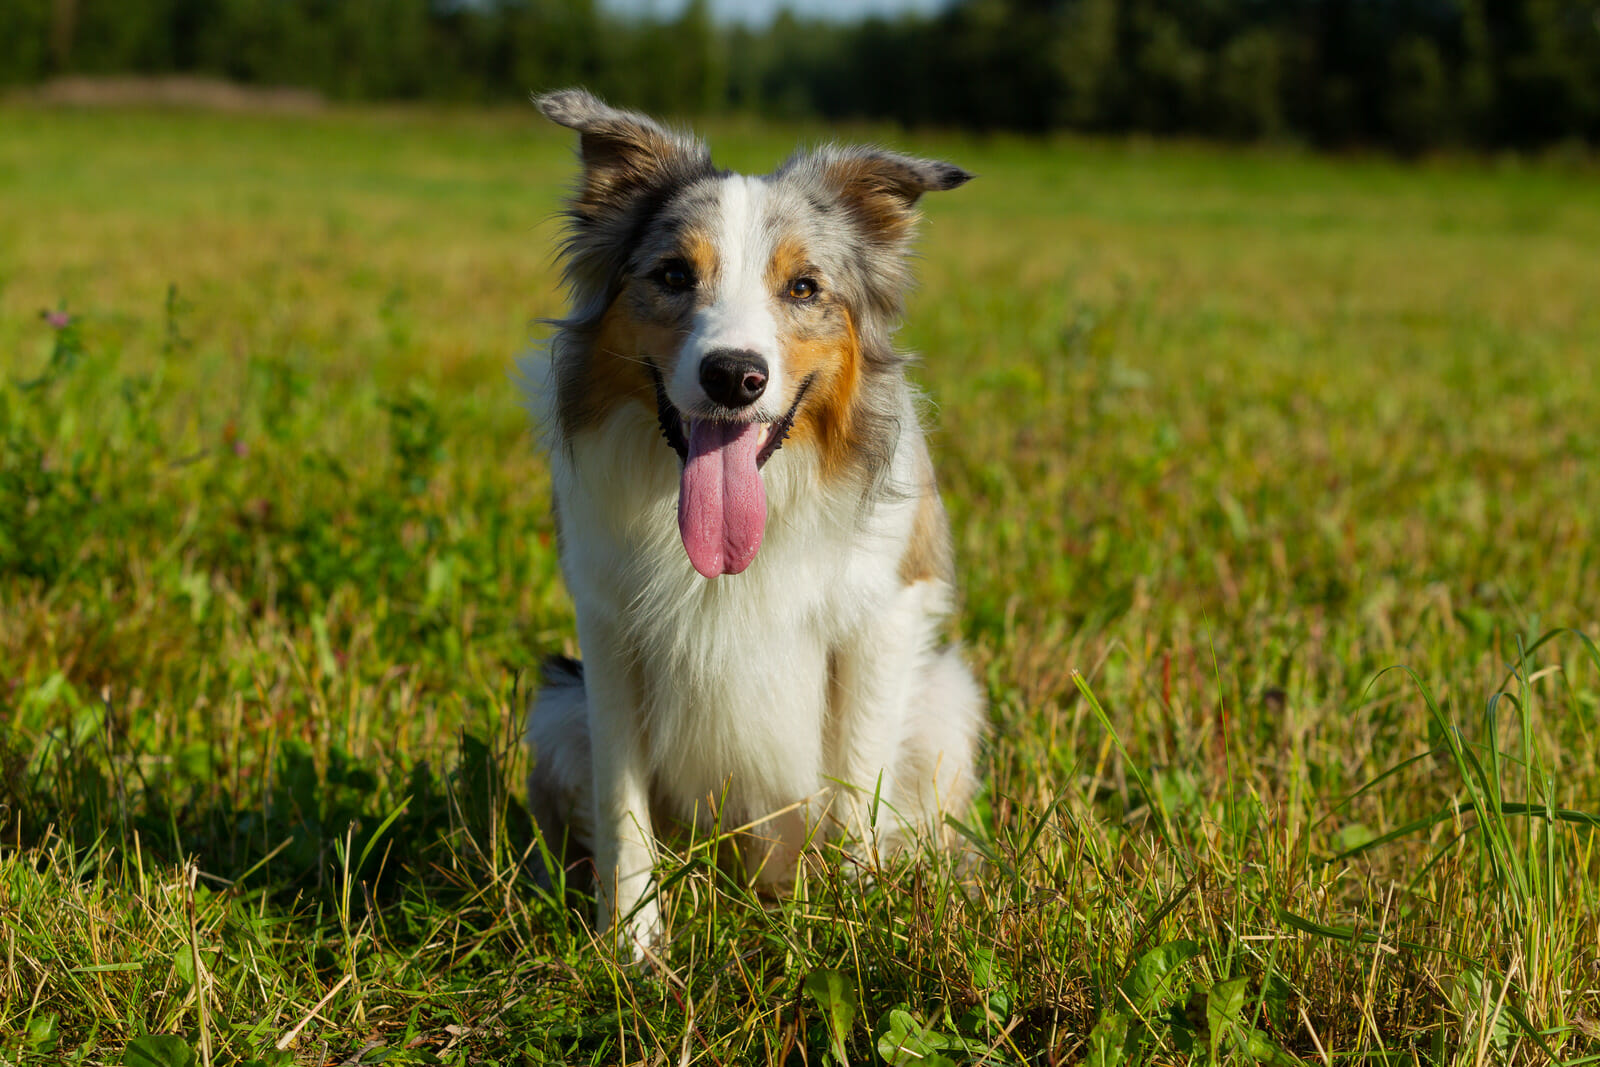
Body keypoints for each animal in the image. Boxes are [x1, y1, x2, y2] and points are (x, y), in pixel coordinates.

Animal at [518, 91, 979, 953]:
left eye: (802, 287)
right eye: (673, 274)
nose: (734, 376)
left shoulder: (882, 616)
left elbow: (855, 789)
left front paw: (854, 925)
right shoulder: (607, 627)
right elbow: (623, 804)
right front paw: (632, 950)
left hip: (948, 701)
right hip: (557, 705)